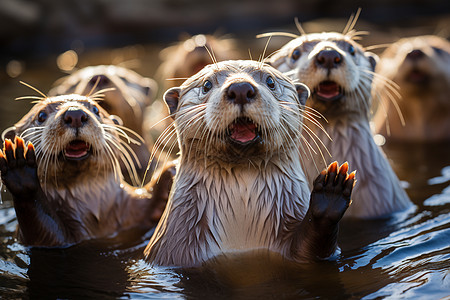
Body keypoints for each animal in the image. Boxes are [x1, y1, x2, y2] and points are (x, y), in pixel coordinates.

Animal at [0, 93, 174, 246]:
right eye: (41, 115)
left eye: (95, 109)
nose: (75, 114)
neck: (98, 215)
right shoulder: (51, 239)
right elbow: (42, 232)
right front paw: (19, 164)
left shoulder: (134, 211)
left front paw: (171, 173)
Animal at [144, 59, 356, 266]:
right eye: (206, 85)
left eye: (270, 81)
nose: (240, 88)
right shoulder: (177, 246)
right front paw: (332, 185)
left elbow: (309, 250)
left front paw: (332, 188)